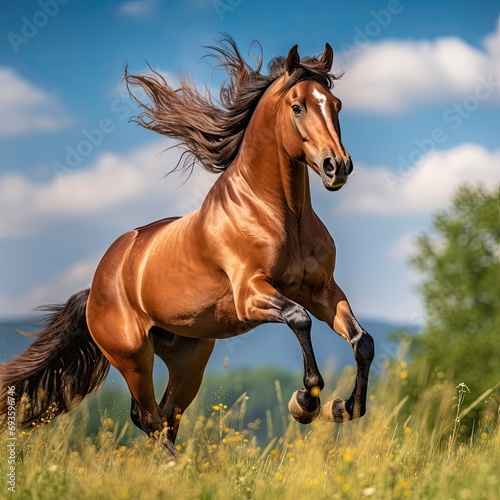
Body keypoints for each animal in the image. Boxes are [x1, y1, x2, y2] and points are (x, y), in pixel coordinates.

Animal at [0, 37, 376, 456]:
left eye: (336, 104)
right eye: (298, 106)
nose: (336, 166)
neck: (280, 215)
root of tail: (96, 286)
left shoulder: (323, 290)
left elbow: (362, 341)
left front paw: (343, 407)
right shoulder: (251, 294)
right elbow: (300, 319)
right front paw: (305, 403)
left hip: (189, 357)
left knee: (167, 414)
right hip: (133, 356)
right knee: (147, 416)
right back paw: (177, 464)